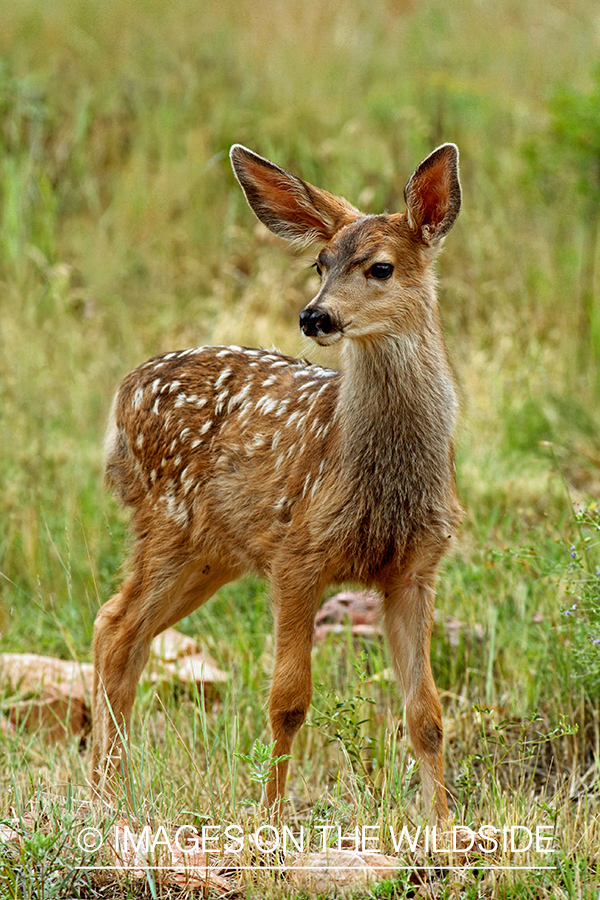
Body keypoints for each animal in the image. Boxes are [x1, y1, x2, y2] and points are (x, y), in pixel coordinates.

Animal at [91, 142, 463, 825]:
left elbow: (426, 714)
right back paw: (106, 796)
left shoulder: (416, 569)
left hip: (213, 555)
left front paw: (443, 826)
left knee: (121, 630)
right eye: (320, 262)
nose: (315, 315)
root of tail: (124, 395)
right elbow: (287, 701)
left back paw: (110, 790)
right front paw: (268, 817)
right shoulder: (298, 554)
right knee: (116, 627)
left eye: (381, 268)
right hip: (167, 522)